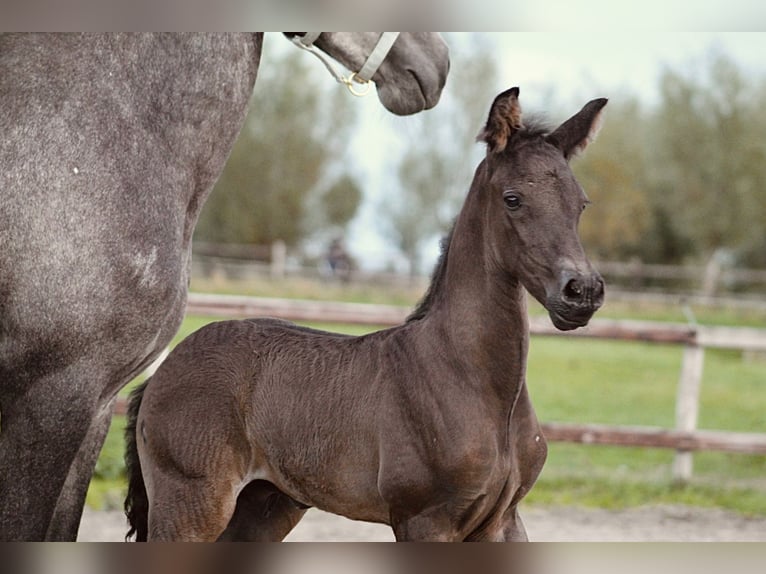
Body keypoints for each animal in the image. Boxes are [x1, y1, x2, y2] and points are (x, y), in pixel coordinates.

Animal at [124, 87, 607, 542]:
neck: (474, 382)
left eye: (581, 203)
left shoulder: (502, 521)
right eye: (513, 199)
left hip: (263, 507)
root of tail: (162, 371)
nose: (582, 291)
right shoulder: (424, 521)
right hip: (192, 504)